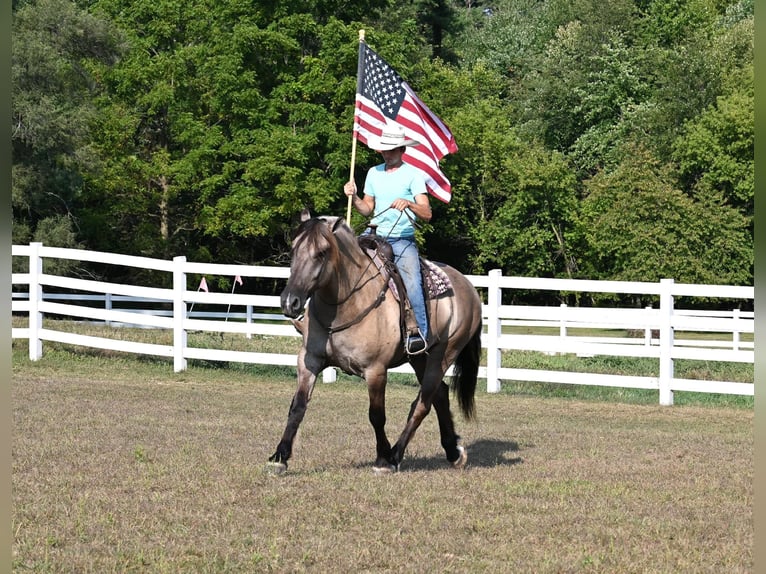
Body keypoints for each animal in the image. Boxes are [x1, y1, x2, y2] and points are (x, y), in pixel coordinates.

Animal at [268, 209, 483, 474]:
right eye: (293, 250)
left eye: (322, 252)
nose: (290, 302)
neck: (348, 302)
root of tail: (468, 287)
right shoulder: (309, 362)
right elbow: (297, 407)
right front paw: (280, 456)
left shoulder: (376, 371)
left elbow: (377, 415)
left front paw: (382, 459)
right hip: (420, 358)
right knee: (440, 395)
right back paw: (453, 452)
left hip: (443, 356)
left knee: (423, 404)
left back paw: (395, 454)